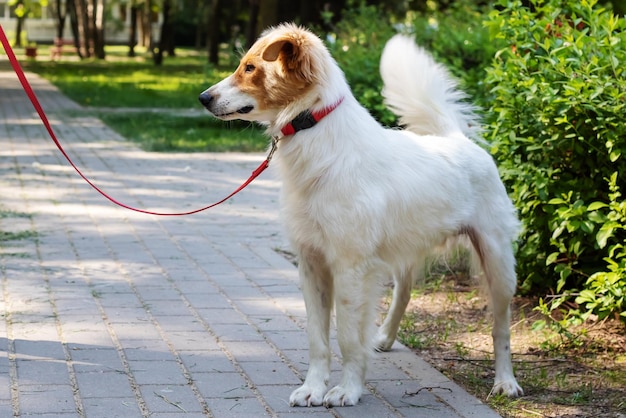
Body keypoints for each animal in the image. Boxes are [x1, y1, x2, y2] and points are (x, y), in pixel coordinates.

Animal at [200, 23, 520, 408]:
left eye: (249, 68)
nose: (203, 97)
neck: (318, 137)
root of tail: (458, 140)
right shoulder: (311, 262)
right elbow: (317, 338)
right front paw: (313, 387)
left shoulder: (350, 267)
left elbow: (348, 337)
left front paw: (347, 389)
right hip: (406, 251)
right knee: (404, 293)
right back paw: (384, 337)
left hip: (498, 263)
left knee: (501, 326)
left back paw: (505, 381)